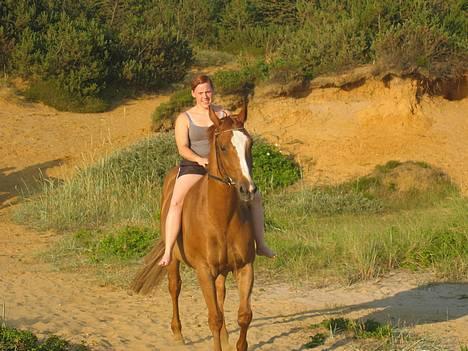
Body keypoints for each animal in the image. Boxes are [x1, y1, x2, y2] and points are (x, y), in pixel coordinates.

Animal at [131, 103, 256, 351]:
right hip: (173, 261)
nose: (247, 189)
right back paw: (178, 333)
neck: (221, 217)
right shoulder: (204, 271)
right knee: (174, 287)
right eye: (223, 147)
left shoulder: (245, 267)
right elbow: (214, 318)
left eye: (250, 144)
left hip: (222, 271)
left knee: (220, 294)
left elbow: (244, 315)